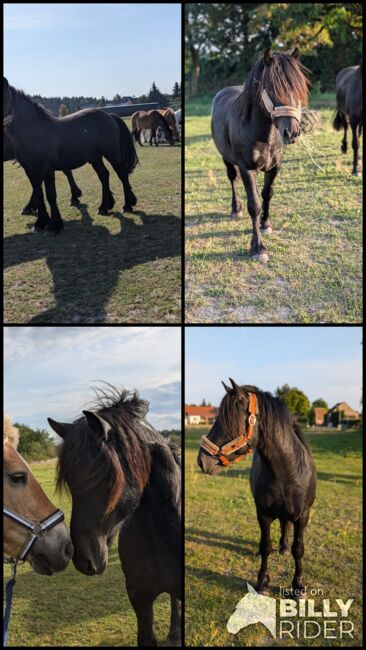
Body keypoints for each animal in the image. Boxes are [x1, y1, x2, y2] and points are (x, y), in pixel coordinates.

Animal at [3, 79, 138, 232]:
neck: (37, 131)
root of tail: (109, 116)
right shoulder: (30, 170)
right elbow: (39, 194)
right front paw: (40, 222)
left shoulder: (46, 169)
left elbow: (50, 195)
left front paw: (55, 224)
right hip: (95, 158)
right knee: (104, 175)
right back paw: (104, 206)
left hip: (112, 154)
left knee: (122, 174)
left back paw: (128, 204)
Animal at [199, 380, 316, 596]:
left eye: (228, 420)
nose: (202, 460)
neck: (287, 472)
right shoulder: (263, 513)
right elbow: (265, 546)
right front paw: (263, 583)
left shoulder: (303, 515)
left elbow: (298, 549)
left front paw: (298, 585)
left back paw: (284, 547)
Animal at [212, 48, 308, 260]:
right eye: (272, 89)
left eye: (299, 89)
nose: (292, 133)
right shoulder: (246, 168)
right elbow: (254, 205)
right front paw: (258, 247)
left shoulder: (275, 166)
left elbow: (267, 194)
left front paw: (266, 224)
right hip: (227, 158)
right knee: (232, 178)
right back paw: (235, 209)